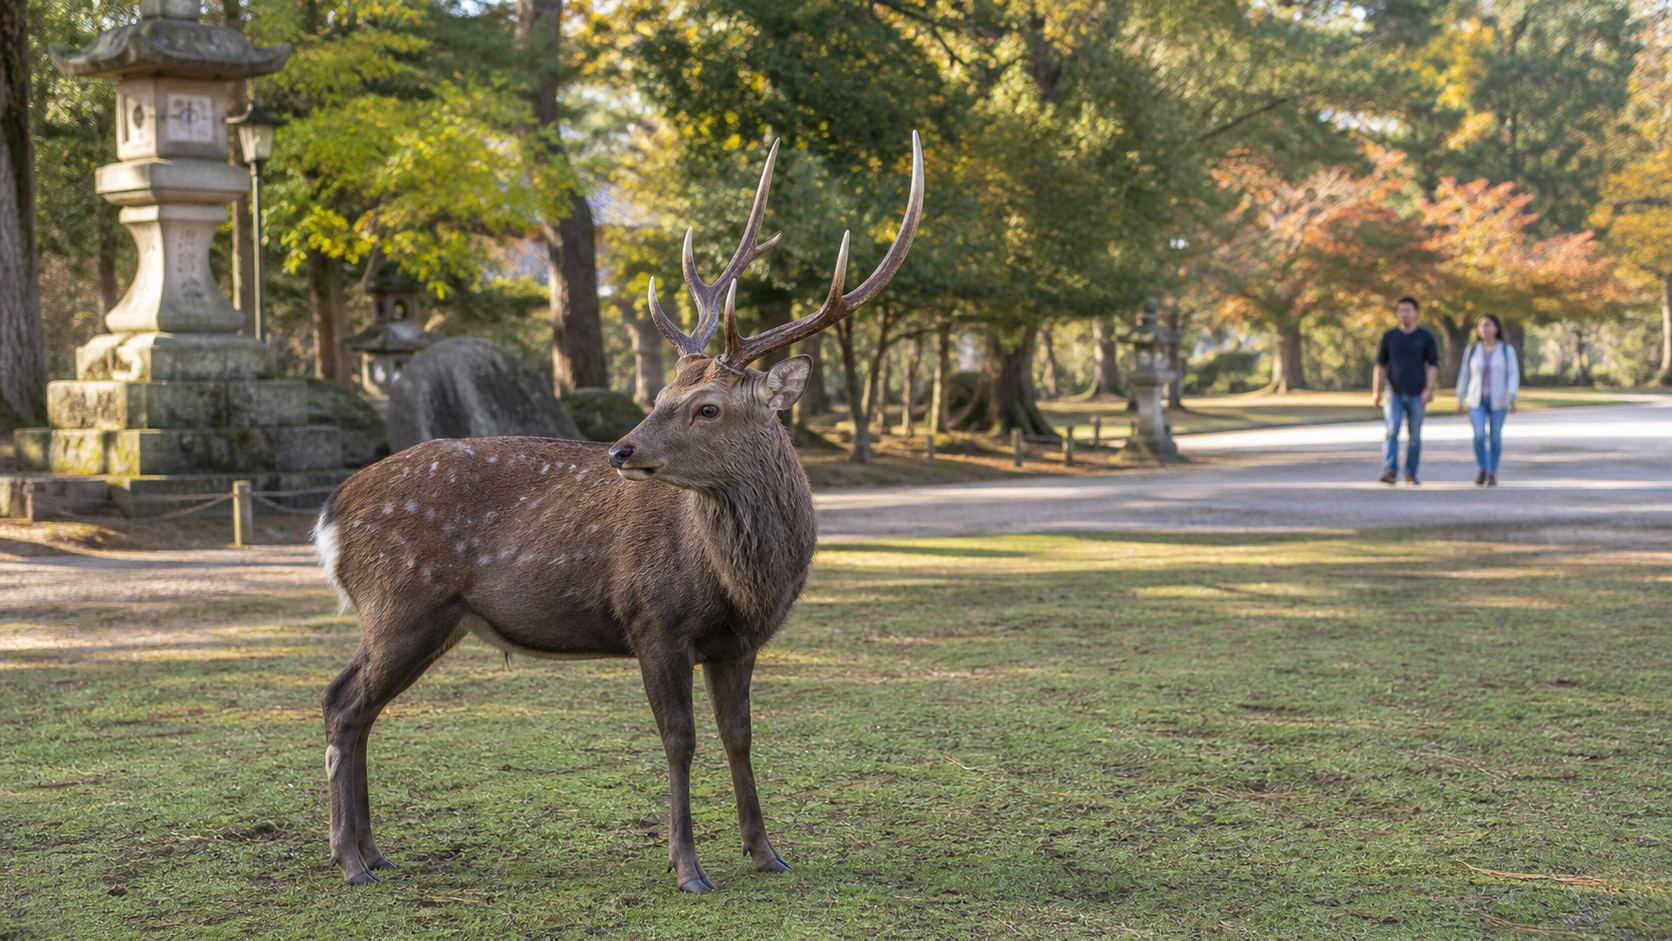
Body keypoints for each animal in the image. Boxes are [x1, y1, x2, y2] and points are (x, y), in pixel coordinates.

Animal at [313, 132, 923, 893]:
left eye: (706, 406)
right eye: (661, 394)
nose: (620, 448)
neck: (743, 582)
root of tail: (332, 513)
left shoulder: (739, 642)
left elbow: (740, 734)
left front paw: (766, 852)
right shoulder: (652, 619)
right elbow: (679, 738)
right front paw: (688, 866)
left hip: (429, 620)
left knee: (356, 705)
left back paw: (374, 851)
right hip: (402, 603)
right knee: (342, 704)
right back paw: (348, 859)